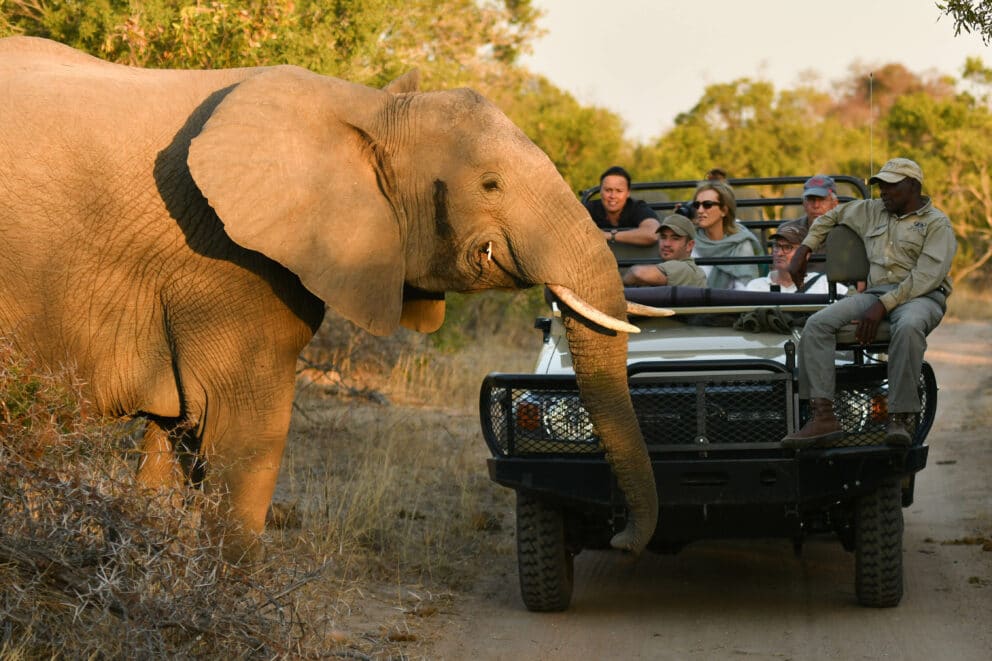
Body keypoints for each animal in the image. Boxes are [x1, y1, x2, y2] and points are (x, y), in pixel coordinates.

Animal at [0, 36, 661, 560]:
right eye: (491, 184)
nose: (619, 537)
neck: (367, 106)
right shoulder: (225, 259)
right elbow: (241, 430)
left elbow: (176, 436)